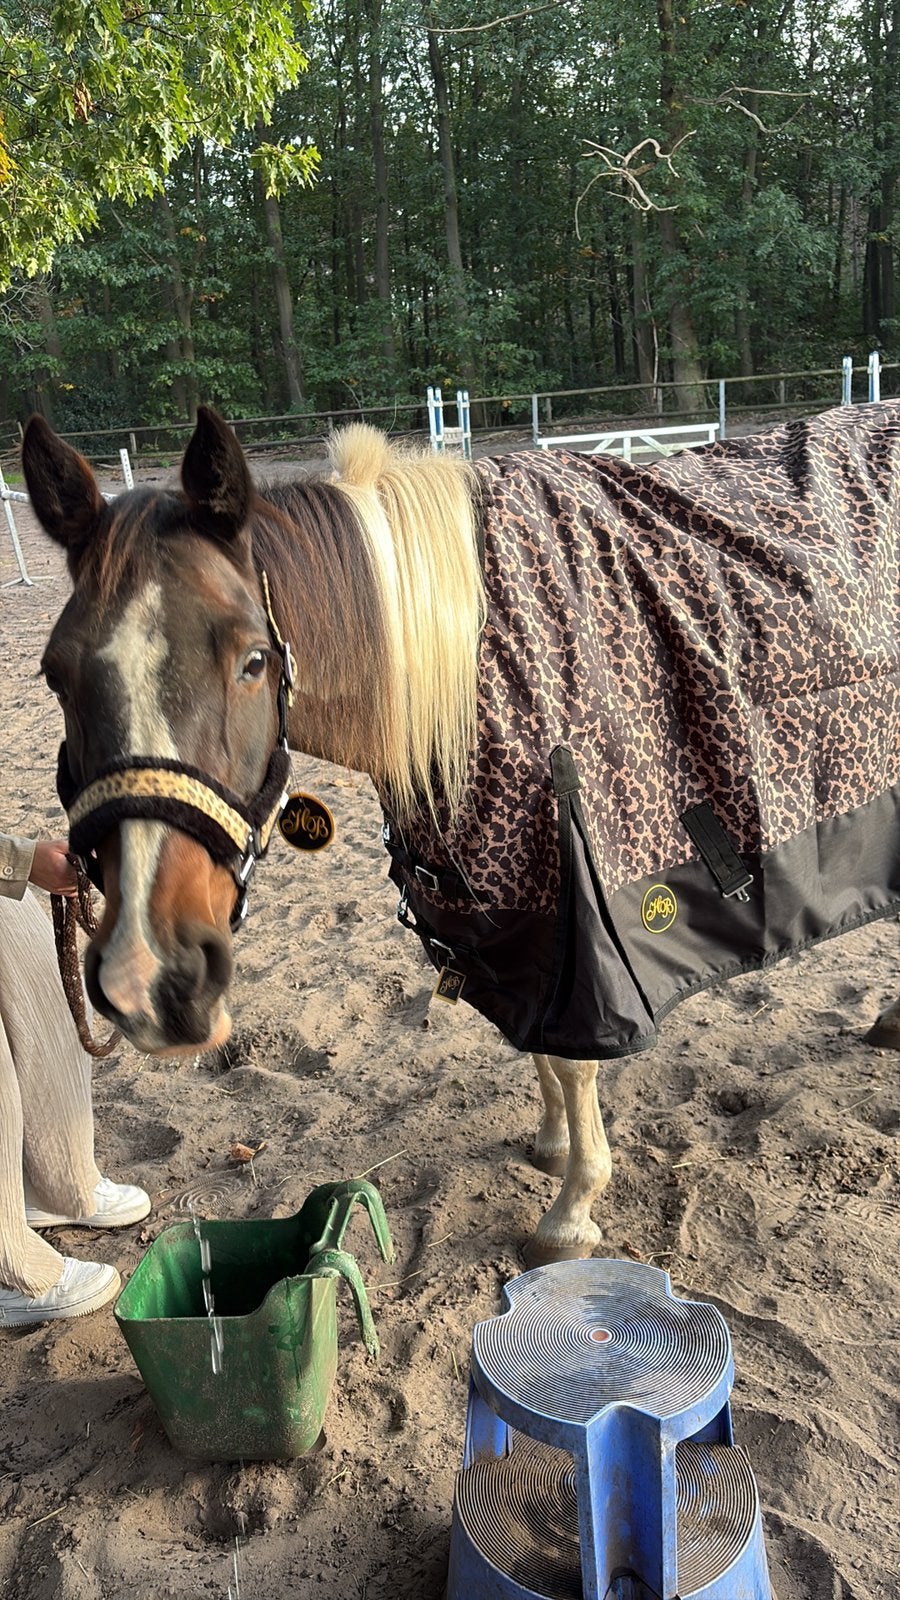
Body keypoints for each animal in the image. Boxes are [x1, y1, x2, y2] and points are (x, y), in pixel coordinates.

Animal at [22, 401, 900, 1266]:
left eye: (253, 660)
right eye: (55, 674)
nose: (150, 977)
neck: (469, 654)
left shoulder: (579, 919)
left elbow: (576, 1060)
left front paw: (572, 1211)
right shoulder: (511, 920)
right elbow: (543, 1047)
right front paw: (552, 1148)